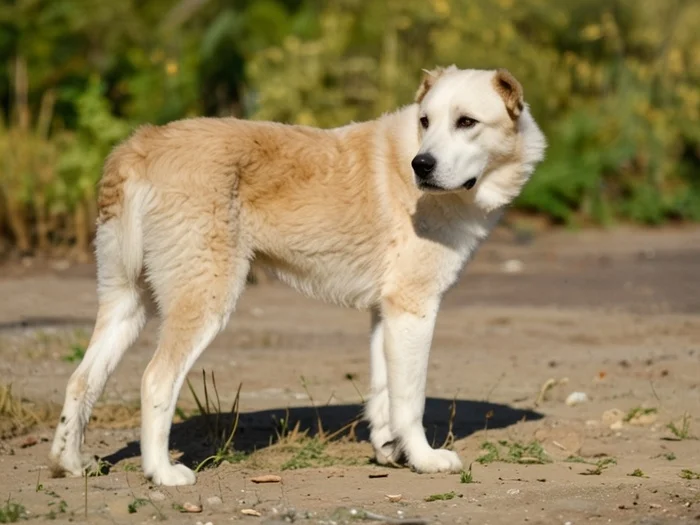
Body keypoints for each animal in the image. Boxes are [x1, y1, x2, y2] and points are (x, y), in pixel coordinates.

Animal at [50, 66, 548, 488]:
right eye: (426, 121)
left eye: (466, 122)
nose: (421, 165)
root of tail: (142, 144)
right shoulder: (413, 309)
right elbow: (410, 399)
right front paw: (424, 459)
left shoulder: (385, 314)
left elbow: (382, 393)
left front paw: (390, 453)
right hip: (204, 300)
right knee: (155, 380)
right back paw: (162, 474)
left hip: (126, 302)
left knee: (80, 380)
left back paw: (69, 463)